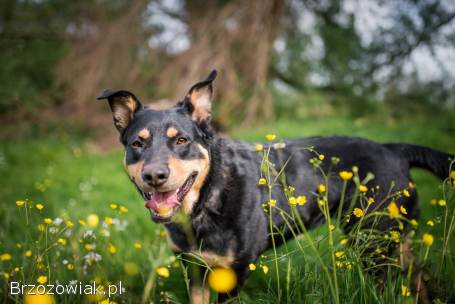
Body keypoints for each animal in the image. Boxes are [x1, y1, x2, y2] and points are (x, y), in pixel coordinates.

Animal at [99, 70, 452, 302]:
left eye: (181, 140)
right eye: (137, 143)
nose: (154, 175)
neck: (208, 198)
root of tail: (394, 148)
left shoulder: (234, 272)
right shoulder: (194, 268)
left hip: (374, 245)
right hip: (394, 241)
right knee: (423, 282)